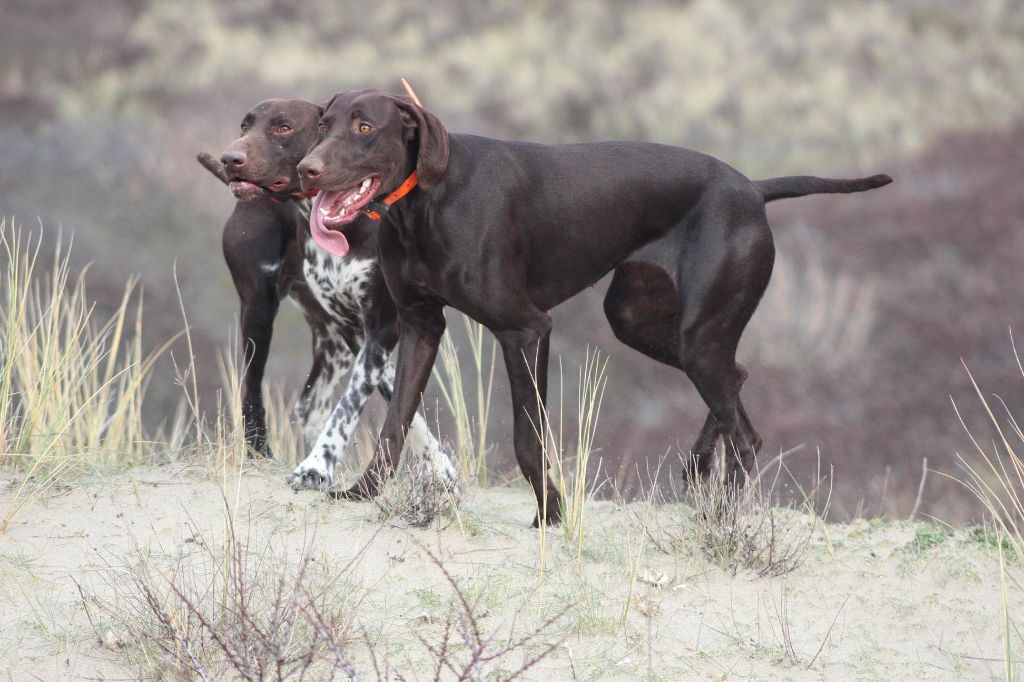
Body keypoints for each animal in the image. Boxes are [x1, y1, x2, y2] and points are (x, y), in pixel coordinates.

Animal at [205, 95, 454, 489]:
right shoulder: (364, 330)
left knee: (312, 404)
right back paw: (259, 453)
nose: (231, 158)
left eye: (284, 127)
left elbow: (364, 399)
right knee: (255, 388)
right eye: (245, 125)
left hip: (330, 341)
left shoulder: (378, 325)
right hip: (259, 312)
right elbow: (379, 396)